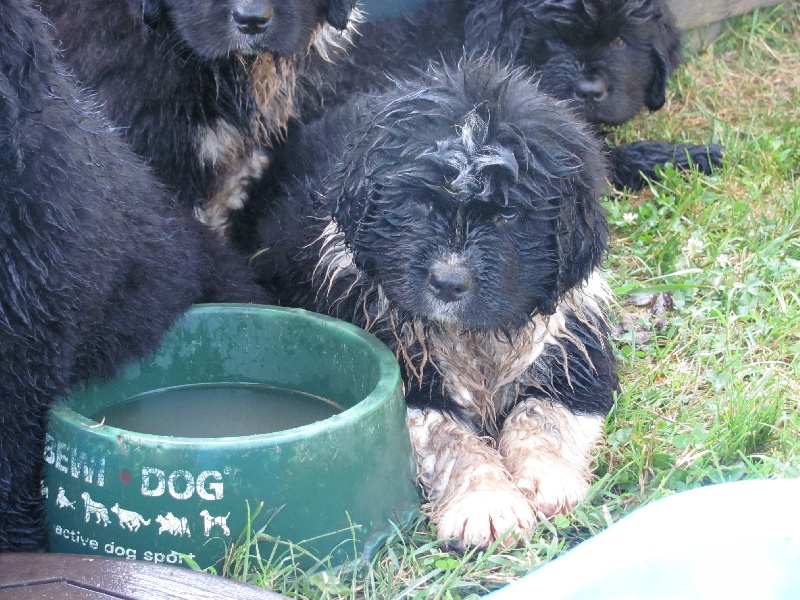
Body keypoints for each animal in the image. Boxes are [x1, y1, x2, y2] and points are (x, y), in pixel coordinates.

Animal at [250, 59, 620, 548]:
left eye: (508, 214)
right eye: (421, 204)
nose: (448, 282)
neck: (476, 338)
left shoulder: (573, 350)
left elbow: (542, 415)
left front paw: (550, 483)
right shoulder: (405, 375)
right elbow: (450, 439)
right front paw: (487, 505)